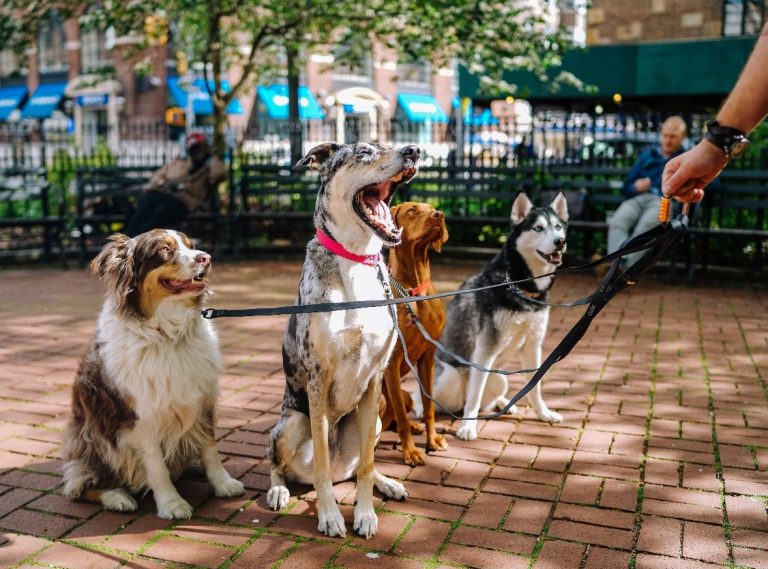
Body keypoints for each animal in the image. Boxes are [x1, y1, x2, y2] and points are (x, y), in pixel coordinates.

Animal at [62, 229, 243, 516]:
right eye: (163, 250)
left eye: (190, 245)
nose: (206, 258)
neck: (168, 335)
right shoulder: (141, 419)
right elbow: (157, 466)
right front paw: (171, 503)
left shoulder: (202, 400)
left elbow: (209, 448)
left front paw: (223, 483)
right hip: (92, 438)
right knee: (78, 485)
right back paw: (116, 497)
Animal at [264, 141, 420, 536]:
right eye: (364, 152)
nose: (414, 150)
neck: (356, 259)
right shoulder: (318, 380)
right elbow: (320, 462)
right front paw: (330, 515)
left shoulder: (375, 379)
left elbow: (366, 465)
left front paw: (364, 514)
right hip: (291, 424)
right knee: (279, 465)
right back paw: (278, 490)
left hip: (375, 420)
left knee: (358, 465)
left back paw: (388, 483)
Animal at [382, 202, 450, 464]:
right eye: (412, 210)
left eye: (433, 208)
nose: (439, 215)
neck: (414, 291)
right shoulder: (391, 363)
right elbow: (400, 416)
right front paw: (410, 451)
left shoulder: (427, 357)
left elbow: (429, 407)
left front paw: (432, 440)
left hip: (406, 394)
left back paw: (415, 426)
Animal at [416, 193, 568, 442]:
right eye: (538, 228)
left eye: (558, 227)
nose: (560, 242)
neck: (519, 286)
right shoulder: (485, 349)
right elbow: (475, 395)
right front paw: (468, 427)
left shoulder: (533, 345)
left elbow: (534, 386)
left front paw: (543, 413)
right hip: (450, 377)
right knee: (428, 394)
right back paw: (422, 408)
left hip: (499, 379)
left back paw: (504, 403)